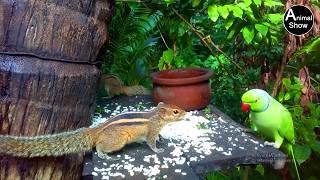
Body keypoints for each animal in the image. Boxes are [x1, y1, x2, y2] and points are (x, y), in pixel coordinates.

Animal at [0, 102, 185, 159]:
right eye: (176, 111)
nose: (186, 112)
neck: (155, 116)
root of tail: (97, 130)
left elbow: (158, 136)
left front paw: (162, 138)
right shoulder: (151, 130)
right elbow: (151, 141)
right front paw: (158, 149)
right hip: (118, 141)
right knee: (99, 146)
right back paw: (103, 154)